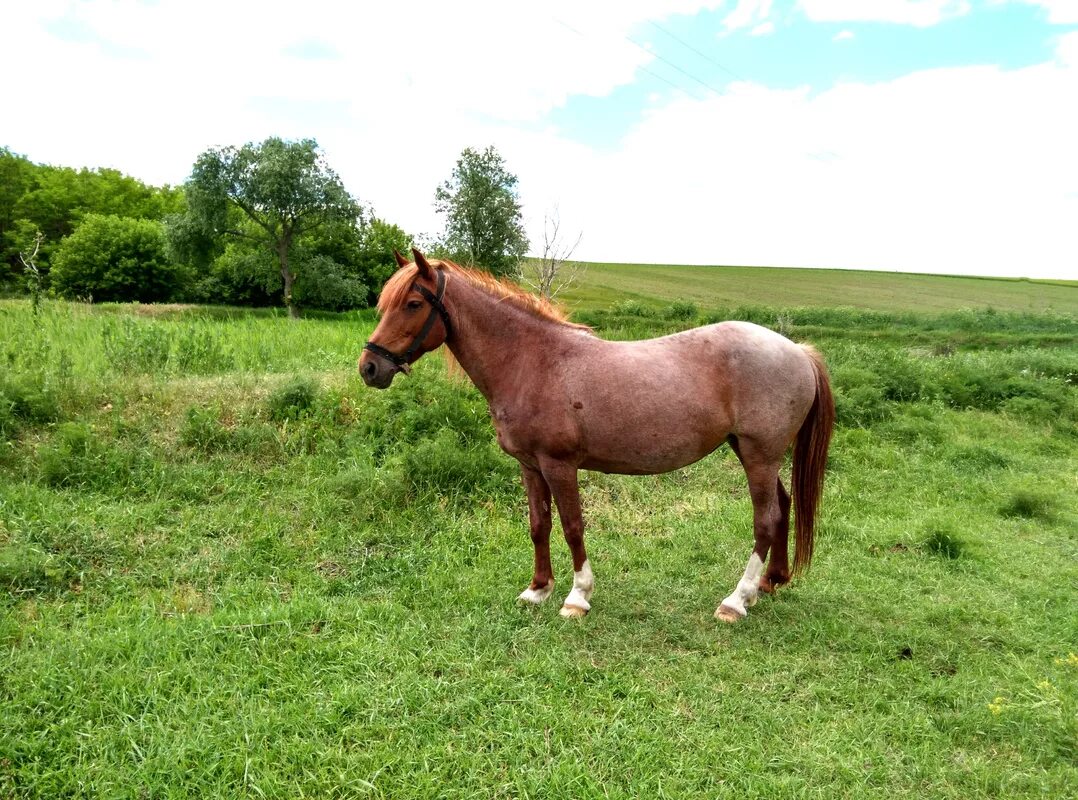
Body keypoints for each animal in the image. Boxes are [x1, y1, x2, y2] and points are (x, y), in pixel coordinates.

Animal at [360, 247, 832, 625]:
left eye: (413, 303)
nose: (370, 367)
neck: (532, 361)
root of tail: (798, 350)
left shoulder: (559, 465)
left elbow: (572, 527)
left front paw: (576, 596)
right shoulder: (529, 466)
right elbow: (539, 525)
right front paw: (537, 589)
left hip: (759, 454)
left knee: (765, 519)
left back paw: (736, 600)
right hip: (755, 453)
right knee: (783, 507)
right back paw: (770, 583)